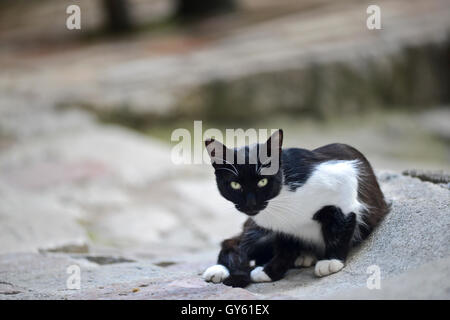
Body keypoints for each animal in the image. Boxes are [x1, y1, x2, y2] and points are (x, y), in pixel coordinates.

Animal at [202, 129, 388, 288]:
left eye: (263, 181)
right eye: (235, 185)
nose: (251, 204)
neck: (283, 199)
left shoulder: (342, 182)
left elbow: (339, 226)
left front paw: (331, 261)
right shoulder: (281, 226)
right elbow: (285, 247)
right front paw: (271, 271)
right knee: (234, 241)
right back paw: (218, 269)